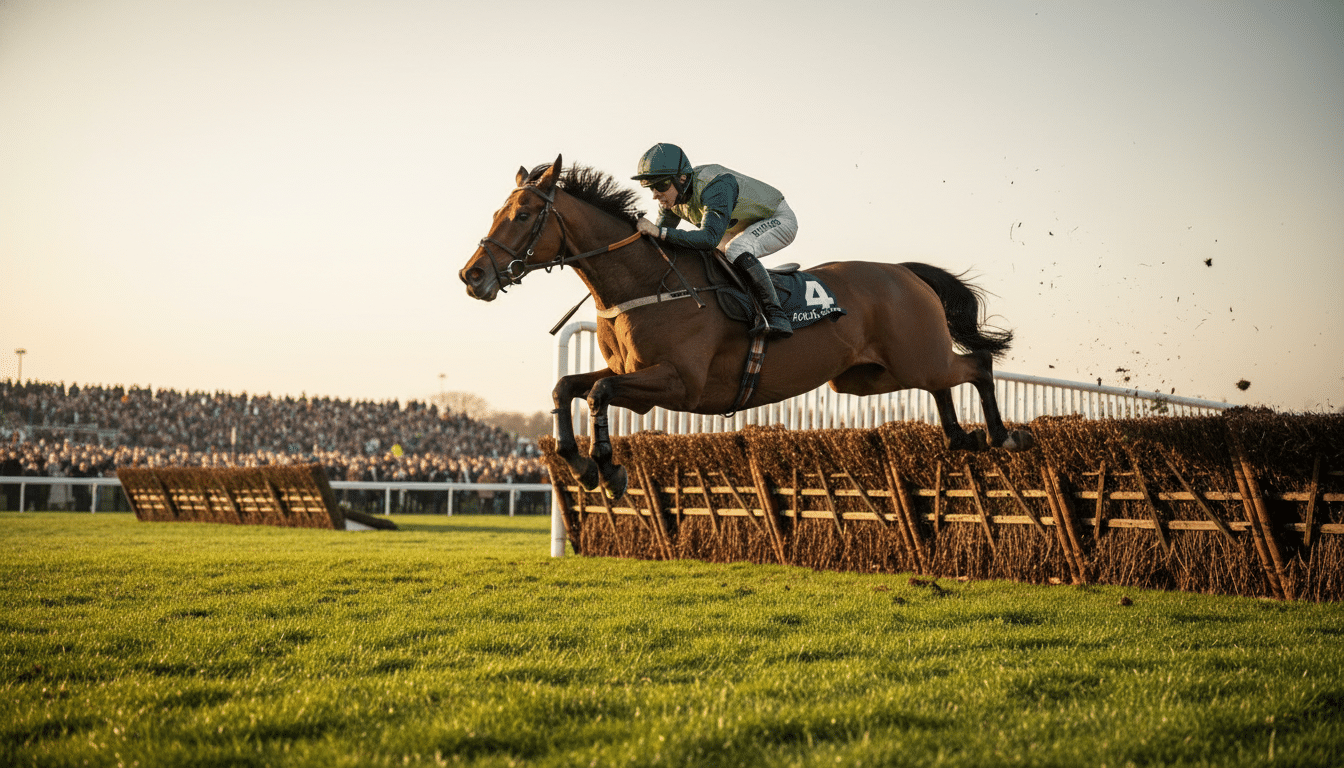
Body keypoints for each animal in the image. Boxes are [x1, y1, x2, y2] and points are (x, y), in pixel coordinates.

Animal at [459, 155, 1032, 499]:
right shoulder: (633, 376)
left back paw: (1004, 436)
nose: (473, 275)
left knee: (977, 364)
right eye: (497, 211)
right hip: (867, 377)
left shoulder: (678, 383)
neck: (645, 284)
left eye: (524, 213)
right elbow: (567, 387)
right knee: (946, 381)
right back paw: (960, 437)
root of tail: (905, 272)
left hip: (912, 358)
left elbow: (598, 393)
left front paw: (608, 466)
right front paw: (579, 465)